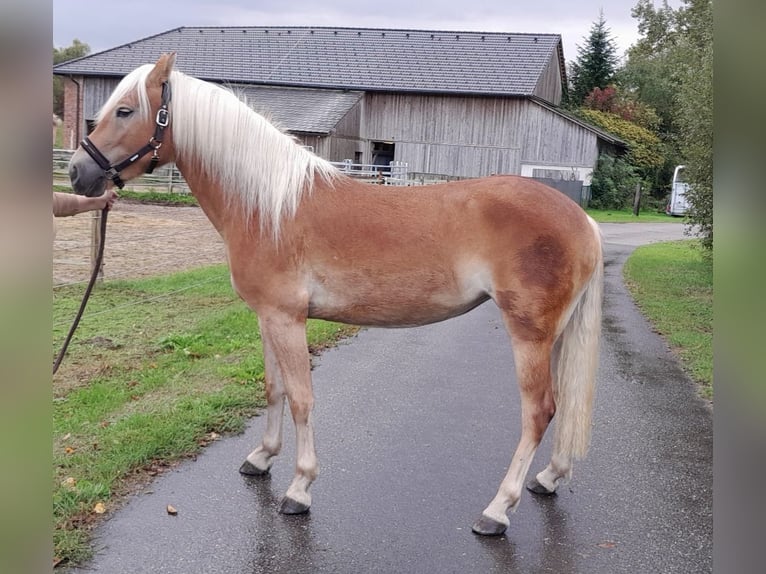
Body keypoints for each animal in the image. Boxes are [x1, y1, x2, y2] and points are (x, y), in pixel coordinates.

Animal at [67, 51, 608, 536]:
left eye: (125, 110)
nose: (77, 172)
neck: (268, 206)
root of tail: (581, 219)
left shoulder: (288, 319)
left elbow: (302, 399)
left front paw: (299, 489)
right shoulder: (267, 317)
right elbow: (274, 389)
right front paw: (261, 458)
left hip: (529, 334)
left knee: (538, 412)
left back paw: (497, 510)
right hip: (555, 335)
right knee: (561, 406)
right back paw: (548, 478)